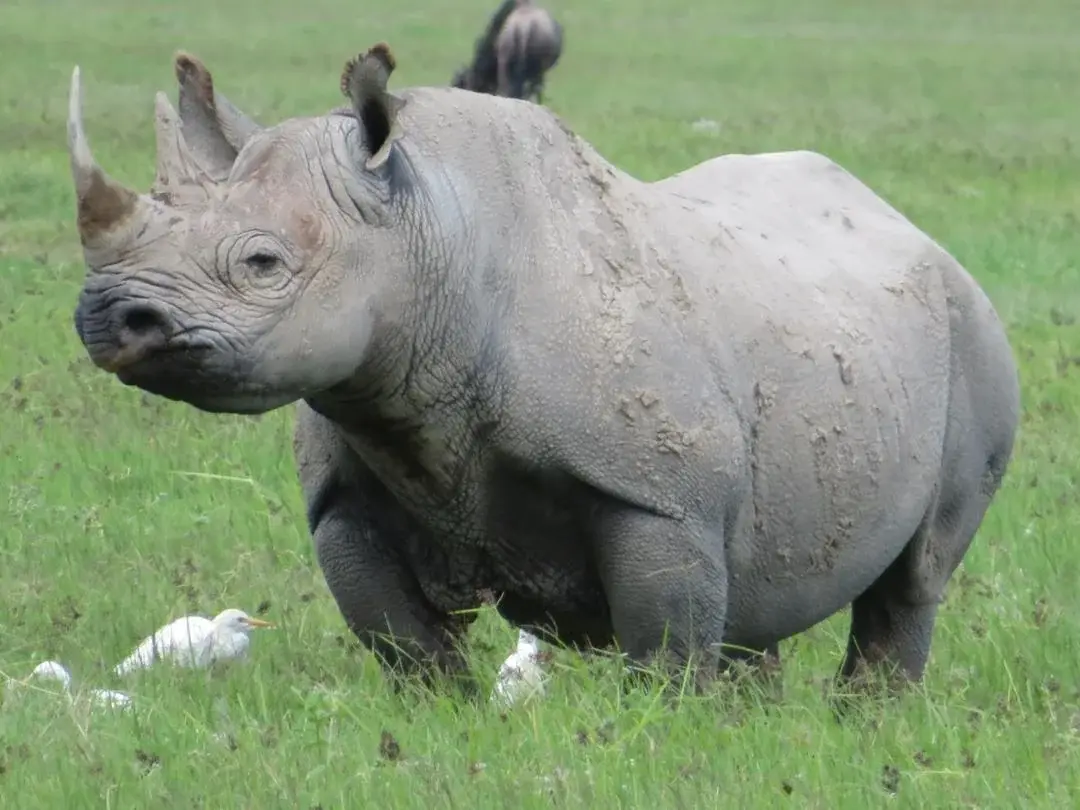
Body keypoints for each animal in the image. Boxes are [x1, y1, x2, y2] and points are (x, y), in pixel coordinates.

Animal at [65, 43, 1020, 696]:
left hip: (974, 333)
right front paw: (444, 725)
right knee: (762, 595)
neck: (429, 240)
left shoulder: (660, 497)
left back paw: (873, 718)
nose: (107, 316)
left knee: (915, 579)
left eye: (263, 263)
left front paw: (666, 738)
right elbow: (406, 647)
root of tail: (904, 222)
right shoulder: (347, 481)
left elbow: (665, 648)